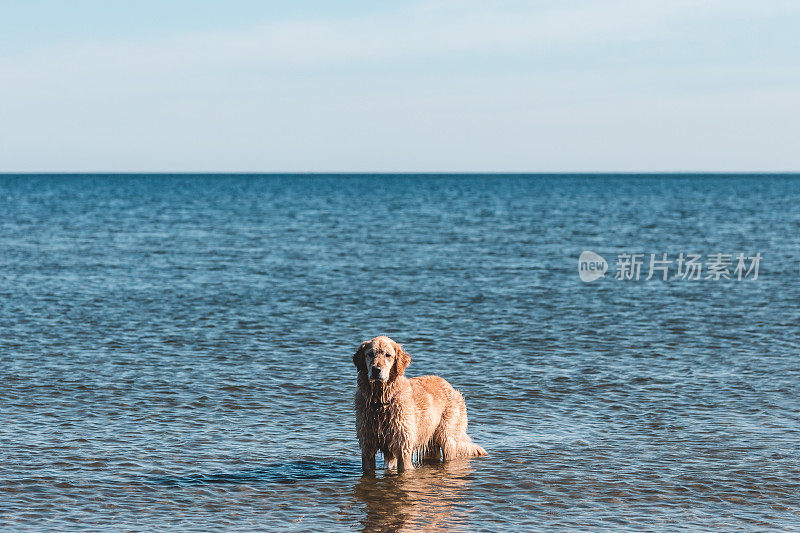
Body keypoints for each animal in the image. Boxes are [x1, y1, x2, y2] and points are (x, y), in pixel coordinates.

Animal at [352, 334, 488, 472]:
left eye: (388, 355)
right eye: (370, 354)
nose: (376, 370)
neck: (380, 401)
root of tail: (452, 387)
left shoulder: (403, 447)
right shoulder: (367, 446)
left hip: (447, 437)